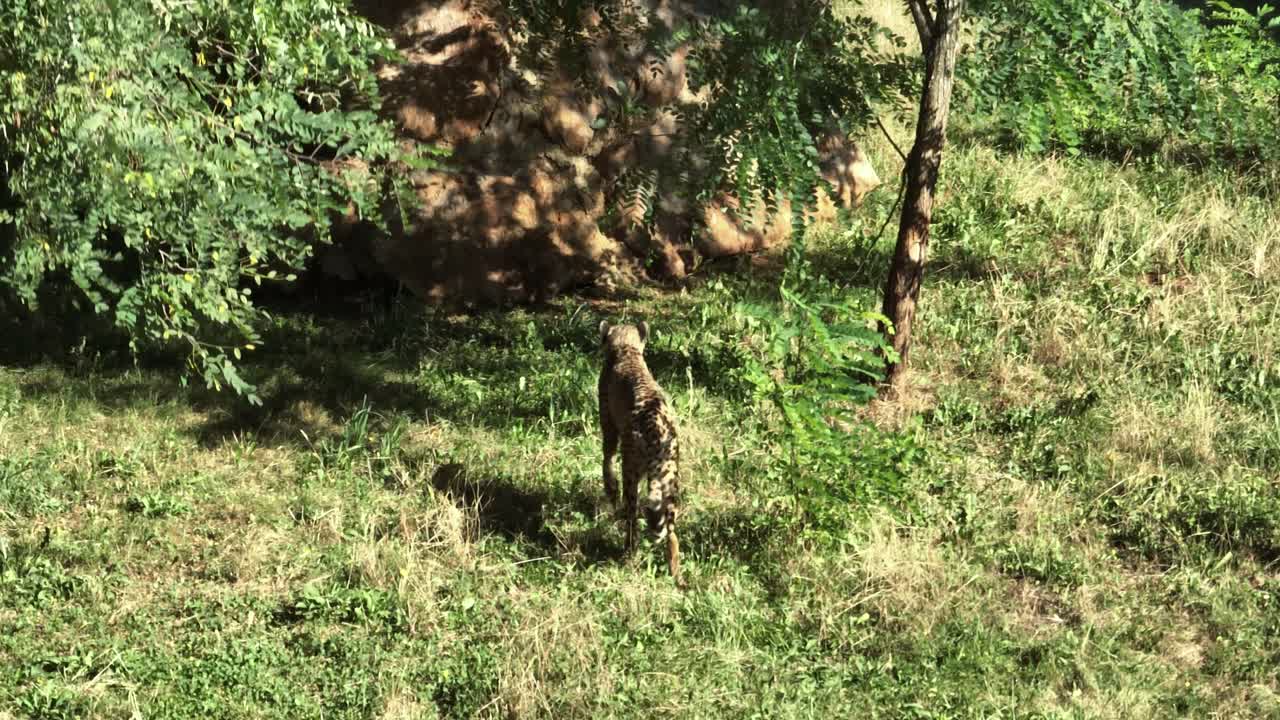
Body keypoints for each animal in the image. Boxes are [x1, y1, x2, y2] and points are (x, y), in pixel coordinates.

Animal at [597, 320, 683, 584]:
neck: (627, 350)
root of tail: (657, 427)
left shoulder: (609, 427)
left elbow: (607, 461)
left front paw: (610, 491)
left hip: (632, 469)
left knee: (632, 515)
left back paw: (628, 552)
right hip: (671, 477)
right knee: (671, 530)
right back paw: (676, 573)